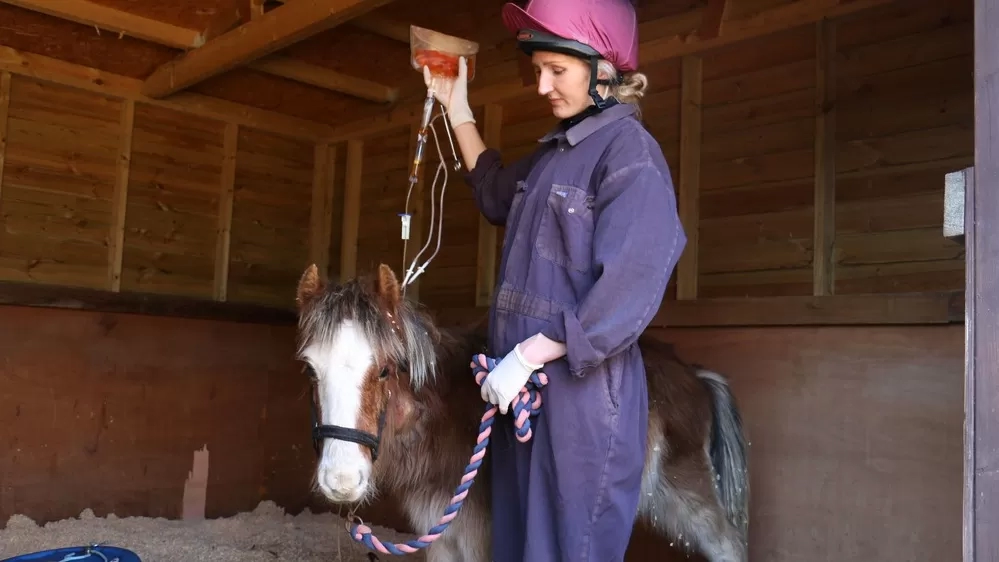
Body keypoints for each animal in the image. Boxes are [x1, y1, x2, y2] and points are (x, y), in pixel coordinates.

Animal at [292, 264, 748, 560]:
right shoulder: (441, 533)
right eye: (310, 370)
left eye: (385, 369)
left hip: (689, 494)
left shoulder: (481, 538)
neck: (447, 417)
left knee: (729, 545)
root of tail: (695, 375)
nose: (341, 480)